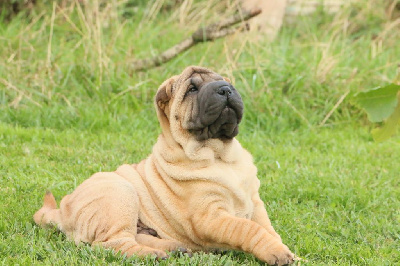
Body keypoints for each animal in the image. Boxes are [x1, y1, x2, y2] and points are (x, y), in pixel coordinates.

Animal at [34, 66, 296, 264]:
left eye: (224, 81)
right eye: (192, 89)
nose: (225, 89)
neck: (219, 155)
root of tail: (63, 209)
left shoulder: (254, 203)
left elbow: (268, 229)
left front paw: (285, 249)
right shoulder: (210, 216)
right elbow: (248, 229)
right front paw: (278, 253)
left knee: (133, 236)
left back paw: (172, 247)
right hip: (119, 194)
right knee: (111, 243)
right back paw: (154, 254)